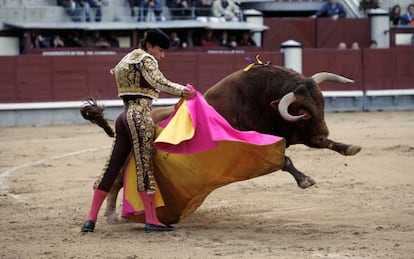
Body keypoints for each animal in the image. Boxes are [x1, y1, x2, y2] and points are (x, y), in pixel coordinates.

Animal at [81, 64, 362, 224]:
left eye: (321, 103)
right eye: (302, 111)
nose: (323, 132)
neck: (262, 99)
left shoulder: (294, 133)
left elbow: (320, 145)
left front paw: (349, 147)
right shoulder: (263, 143)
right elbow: (285, 160)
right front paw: (305, 180)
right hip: (130, 153)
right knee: (115, 180)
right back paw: (111, 216)